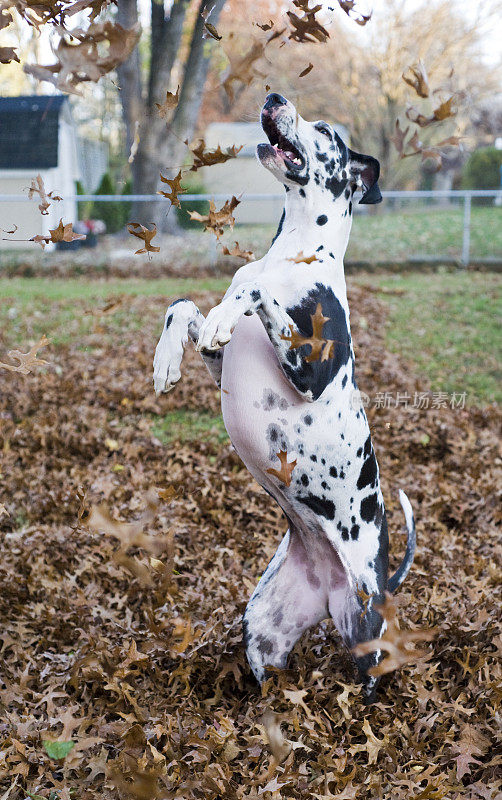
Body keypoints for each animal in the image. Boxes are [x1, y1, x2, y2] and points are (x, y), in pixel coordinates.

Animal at [153, 90, 416, 696]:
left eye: (327, 131)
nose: (274, 97)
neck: (292, 254)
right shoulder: (220, 361)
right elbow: (186, 306)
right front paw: (165, 359)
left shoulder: (311, 372)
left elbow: (252, 289)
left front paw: (234, 304)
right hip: (263, 622)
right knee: (268, 671)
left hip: (368, 624)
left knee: (373, 675)